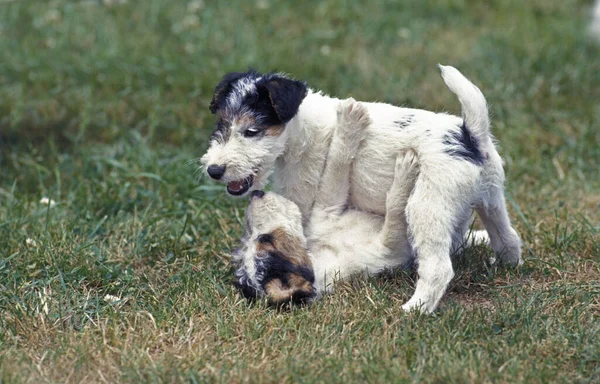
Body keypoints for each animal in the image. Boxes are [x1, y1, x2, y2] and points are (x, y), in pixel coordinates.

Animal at [232, 100, 420, 304]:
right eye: (265, 239)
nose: (255, 193)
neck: (325, 253)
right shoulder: (387, 246)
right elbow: (394, 212)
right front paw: (406, 168)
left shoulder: (327, 210)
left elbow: (334, 169)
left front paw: (348, 122)